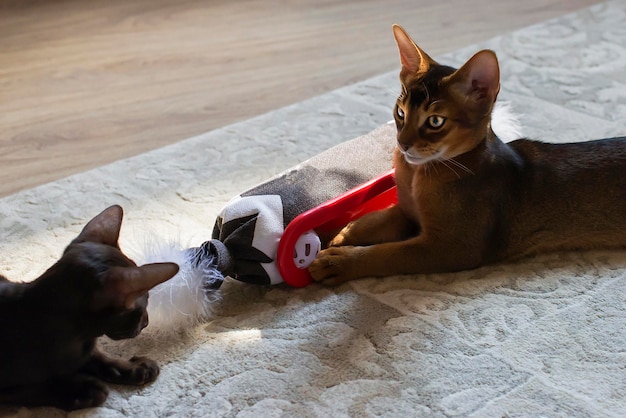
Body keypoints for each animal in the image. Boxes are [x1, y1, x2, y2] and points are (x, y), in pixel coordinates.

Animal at [0, 206, 178, 412]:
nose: (147, 322)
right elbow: (32, 389)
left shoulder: (86, 348)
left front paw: (133, 368)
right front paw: (78, 391)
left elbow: (99, 356)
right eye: (144, 302)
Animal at [308, 24, 624, 286]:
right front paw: (337, 233)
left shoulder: (450, 247)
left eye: (435, 121)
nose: (402, 143)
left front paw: (340, 261)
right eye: (400, 113)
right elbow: (371, 220)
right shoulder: (406, 212)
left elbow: (388, 253)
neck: (417, 176)